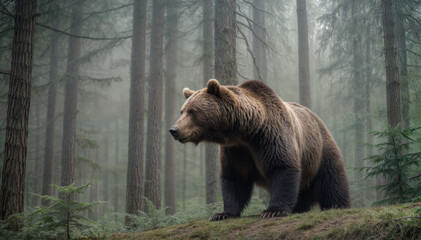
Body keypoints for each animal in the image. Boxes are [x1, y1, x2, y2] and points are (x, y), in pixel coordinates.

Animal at [169, 79, 350, 221]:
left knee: (332, 181)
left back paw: (338, 205)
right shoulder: (235, 150)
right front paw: (223, 213)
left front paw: (273, 211)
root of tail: (317, 118)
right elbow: (234, 177)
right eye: (182, 111)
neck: (247, 132)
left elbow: (282, 166)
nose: (174, 130)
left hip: (320, 151)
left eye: (193, 111)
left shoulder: (270, 137)